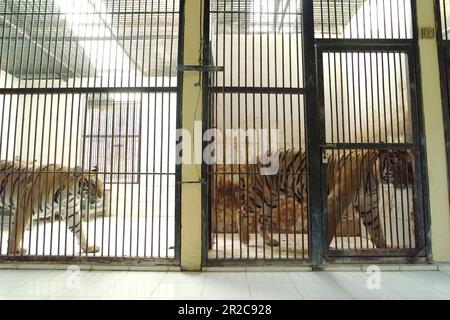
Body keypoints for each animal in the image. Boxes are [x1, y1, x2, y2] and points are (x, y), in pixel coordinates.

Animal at [237, 148, 414, 248]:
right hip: (257, 195)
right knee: (241, 211)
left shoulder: (369, 205)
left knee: (262, 221)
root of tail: (251, 160)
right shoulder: (336, 200)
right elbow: (330, 228)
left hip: (270, 200)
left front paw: (384, 248)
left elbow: (376, 228)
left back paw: (269, 241)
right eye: (397, 166)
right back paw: (244, 239)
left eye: (410, 166)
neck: (374, 176)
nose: (410, 182)